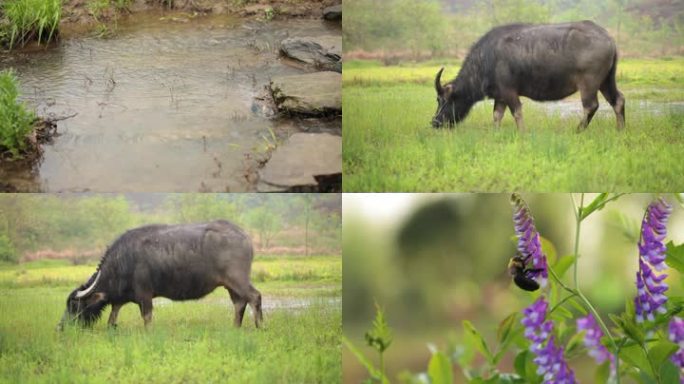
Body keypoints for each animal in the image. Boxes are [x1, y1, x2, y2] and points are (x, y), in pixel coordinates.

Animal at [59, 220, 262, 328]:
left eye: (74, 306)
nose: (61, 327)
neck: (123, 261)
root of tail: (244, 236)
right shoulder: (120, 299)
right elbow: (112, 316)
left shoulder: (144, 296)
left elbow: (147, 318)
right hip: (230, 285)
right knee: (239, 303)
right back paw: (235, 327)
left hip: (238, 280)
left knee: (254, 297)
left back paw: (260, 326)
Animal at [432, 21, 624, 132]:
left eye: (444, 100)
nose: (435, 122)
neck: (487, 58)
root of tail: (609, 38)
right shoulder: (500, 96)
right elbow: (497, 115)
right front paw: (496, 132)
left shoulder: (509, 92)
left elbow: (517, 112)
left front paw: (522, 132)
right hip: (606, 81)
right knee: (618, 100)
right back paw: (620, 129)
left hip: (589, 83)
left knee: (591, 106)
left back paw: (578, 129)